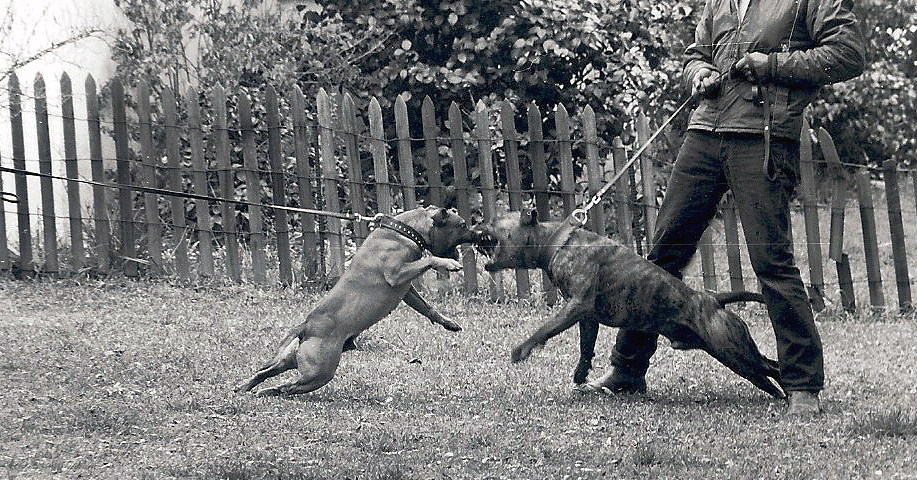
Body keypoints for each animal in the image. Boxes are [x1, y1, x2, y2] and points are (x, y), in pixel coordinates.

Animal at [472, 210, 780, 398]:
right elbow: (586, 347)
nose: (473, 221)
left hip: (736, 354)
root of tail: (713, 299)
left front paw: (522, 350)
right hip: (733, 353)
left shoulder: (575, 306)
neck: (557, 241)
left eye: (493, 220)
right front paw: (581, 373)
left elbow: (544, 329)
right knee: (770, 367)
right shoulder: (586, 316)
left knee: (770, 371)